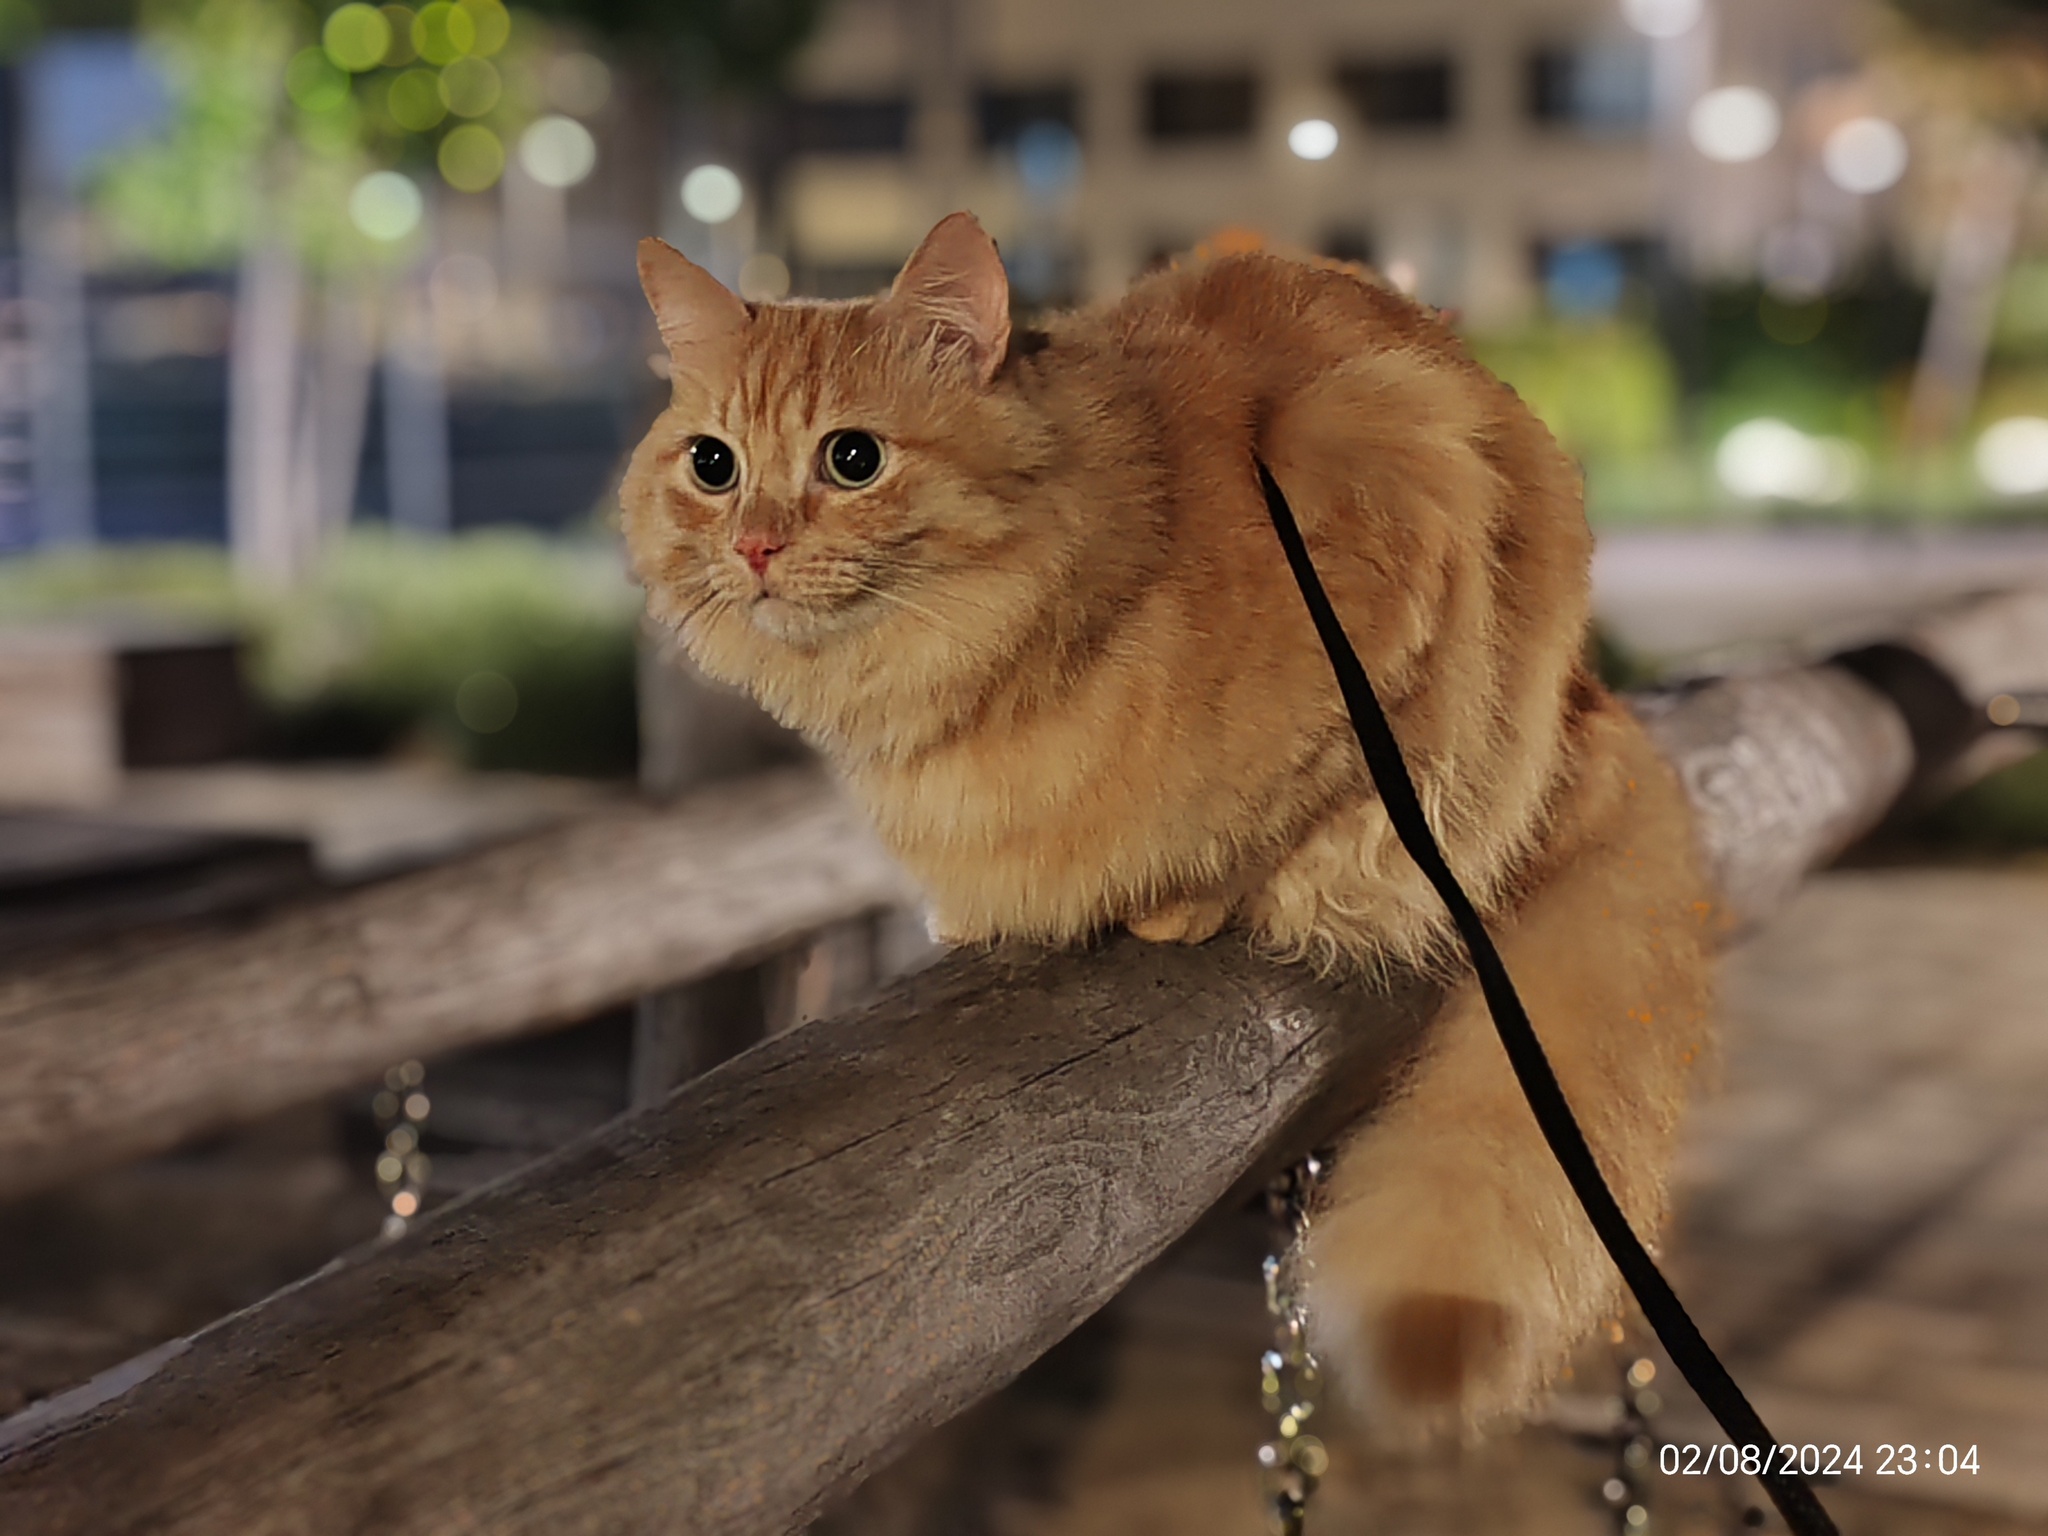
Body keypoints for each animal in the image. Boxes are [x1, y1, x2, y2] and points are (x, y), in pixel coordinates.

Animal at [618, 214, 1712, 1433]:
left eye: (851, 459)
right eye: (713, 465)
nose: (754, 547)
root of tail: (1586, 698)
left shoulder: (1385, 551)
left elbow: (1282, 815)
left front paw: (1190, 899)